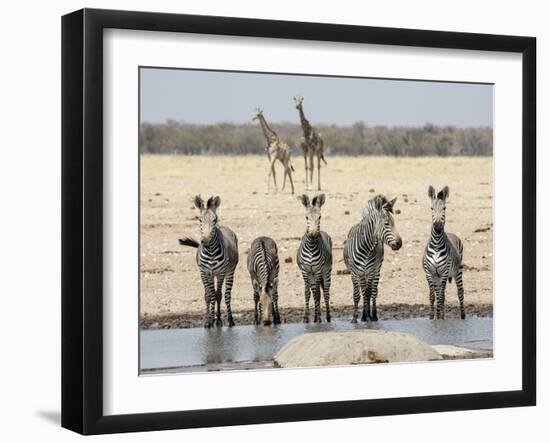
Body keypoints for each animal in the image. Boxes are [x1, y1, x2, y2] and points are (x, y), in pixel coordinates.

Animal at [179, 196, 239, 328]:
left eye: (215, 219)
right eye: (200, 219)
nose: (205, 241)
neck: (210, 251)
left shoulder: (221, 273)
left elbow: (217, 295)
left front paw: (217, 320)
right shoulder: (204, 272)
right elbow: (209, 296)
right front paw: (208, 320)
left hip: (229, 272)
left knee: (226, 295)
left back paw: (229, 320)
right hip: (211, 275)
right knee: (211, 294)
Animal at [298, 194, 332, 322]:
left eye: (320, 217)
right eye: (306, 217)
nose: (313, 234)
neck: (311, 247)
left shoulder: (317, 270)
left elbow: (317, 294)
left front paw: (318, 319)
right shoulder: (305, 270)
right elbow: (307, 293)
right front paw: (306, 318)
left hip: (326, 271)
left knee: (325, 292)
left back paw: (327, 316)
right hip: (311, 274)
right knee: (314, 292)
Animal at [344, 194, 406, 322]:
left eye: (394, 222)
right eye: (386, 224)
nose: (399, 243)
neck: (366, 248)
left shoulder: (372, 270)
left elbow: (368, 293)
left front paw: (367, 315)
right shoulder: (357, 272)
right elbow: (358, 294)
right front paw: (357, 317)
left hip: (376, 270)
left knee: (373, 291)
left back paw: (373, 315)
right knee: (364, 291)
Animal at [424, 186, 468, 320]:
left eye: (444, 208)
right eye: (431, 208)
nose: (438, 226)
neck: (436, 244)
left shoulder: (444, 273)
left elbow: (440, 297)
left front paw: (438, 318)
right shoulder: (430, 273)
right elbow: (433, 296)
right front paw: (432, 317)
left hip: (458, 270)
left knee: (460, 292)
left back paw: (462, 316)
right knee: (441, 294)